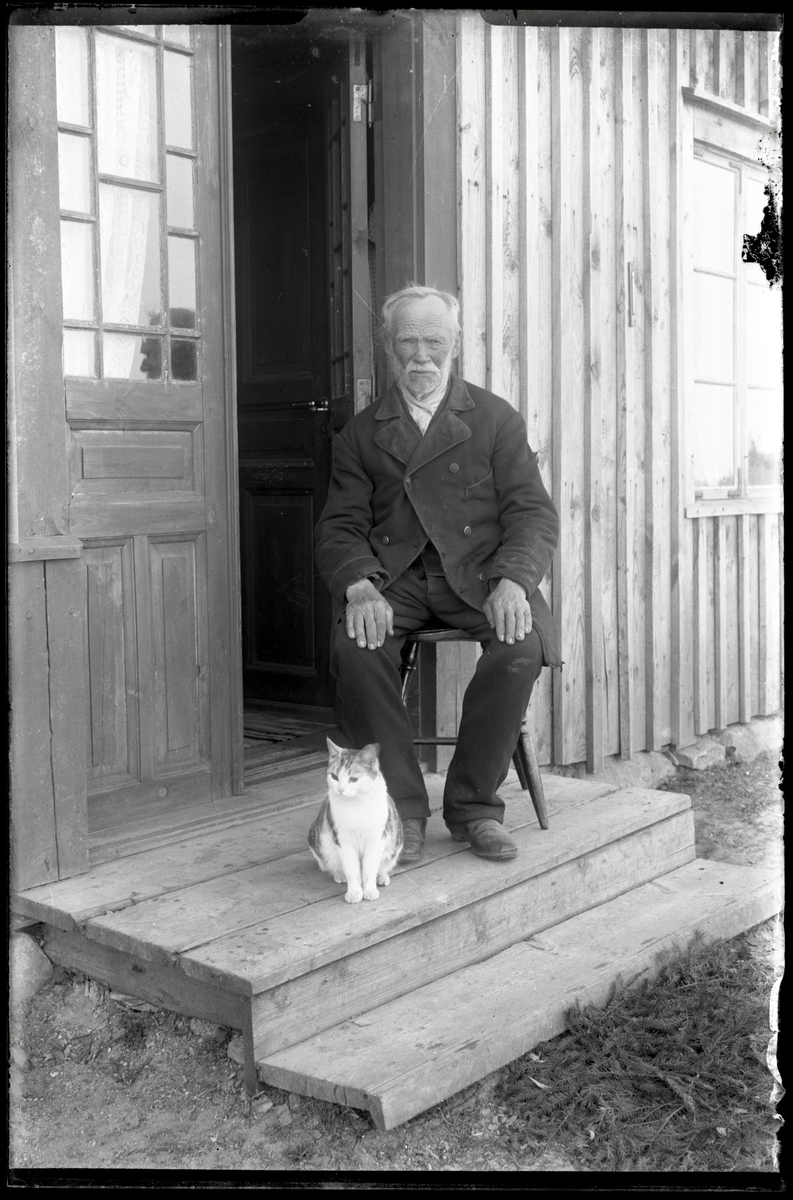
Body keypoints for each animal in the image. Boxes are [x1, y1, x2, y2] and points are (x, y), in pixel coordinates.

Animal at [308, 739, 404, 904]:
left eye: (353, 779)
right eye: (334, 777)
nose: (340, 789)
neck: (356, 804)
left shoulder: (376, 839)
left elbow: (370, 868)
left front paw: (370, 890)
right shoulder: (343, 840)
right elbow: (351, 869)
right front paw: (354, 892)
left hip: (394, 844)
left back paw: (381, 876)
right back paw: (340, 875)